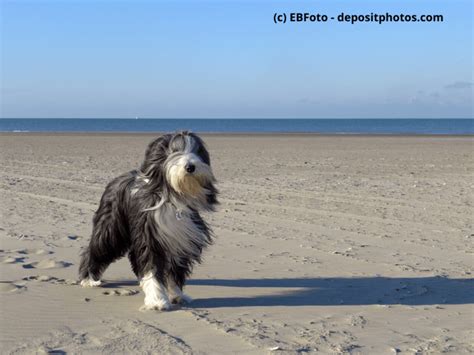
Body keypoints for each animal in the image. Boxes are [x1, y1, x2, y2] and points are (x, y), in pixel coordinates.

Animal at [78, 131, 218, 312]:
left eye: (197, 151)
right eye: (173, 151)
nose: (190, 167)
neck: (172, 199)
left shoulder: (180, 241)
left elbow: (175, 271)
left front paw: (178, 295)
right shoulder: (149, 238)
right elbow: (151, 268)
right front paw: (157, 300)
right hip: (111, 227)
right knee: (97, 248)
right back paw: (88, 279)